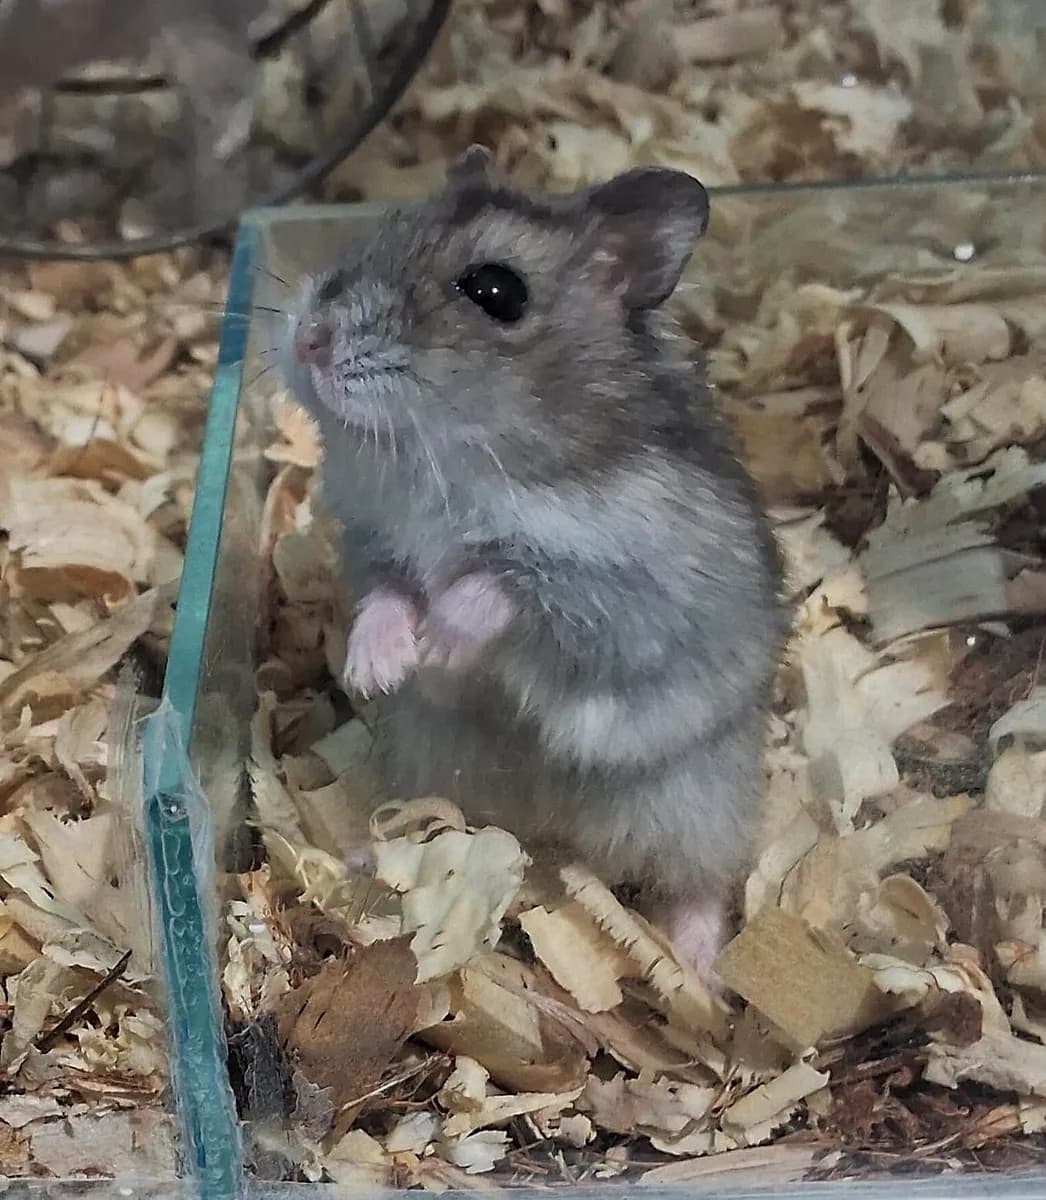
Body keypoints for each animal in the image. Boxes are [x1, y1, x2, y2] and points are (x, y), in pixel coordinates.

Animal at [281, 146, 786, 978]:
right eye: (384, 228)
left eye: (497, 291)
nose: (309, 339)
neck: (447, 467)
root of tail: (560, 838)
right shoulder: (370, 543)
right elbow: (386, 595)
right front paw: (380, 669)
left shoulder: (627, 592)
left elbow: (504, 583)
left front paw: (439, 645)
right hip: (434, 767)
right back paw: (362, 856)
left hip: (697, 801)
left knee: (703, 885)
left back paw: (698, 974)